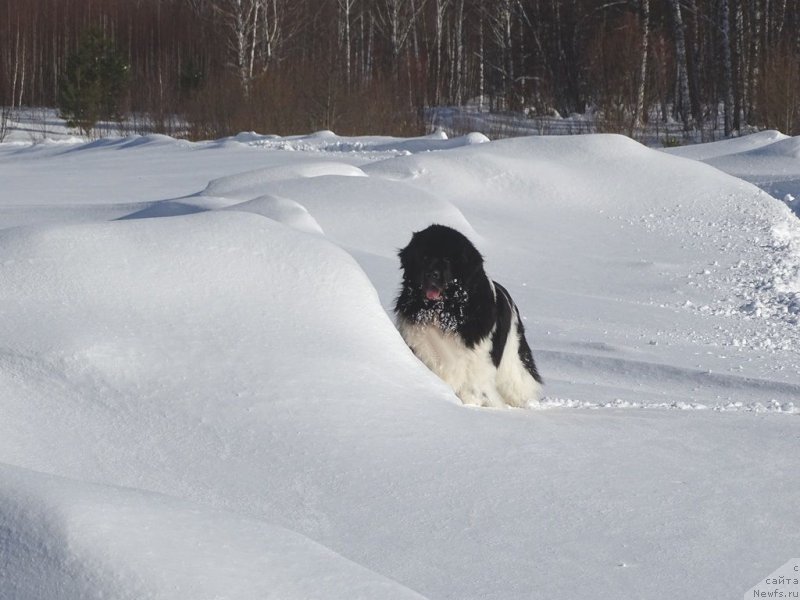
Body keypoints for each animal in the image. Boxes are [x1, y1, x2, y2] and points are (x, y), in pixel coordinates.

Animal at [396, 225, 544, 408]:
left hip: (513, 363)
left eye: (448, 259)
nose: (431, 274)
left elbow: (474, 390)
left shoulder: (477, 363)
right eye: (424, 257)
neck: (446, 313)